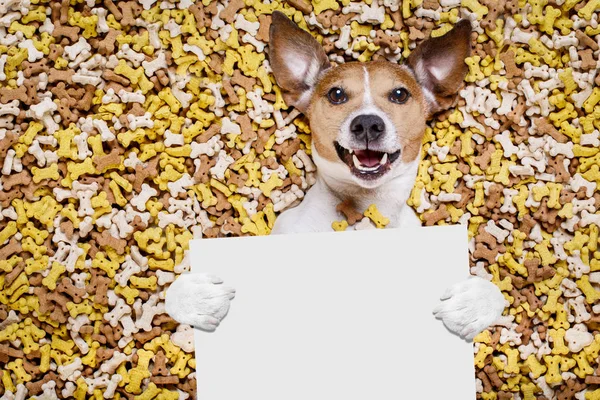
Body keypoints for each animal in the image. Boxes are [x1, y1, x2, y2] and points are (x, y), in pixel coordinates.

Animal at [166, 12, 508, 342]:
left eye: (399, 94)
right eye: (337, 94)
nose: (368, 124)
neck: (362, 209)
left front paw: (475, 302)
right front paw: (195, 297)